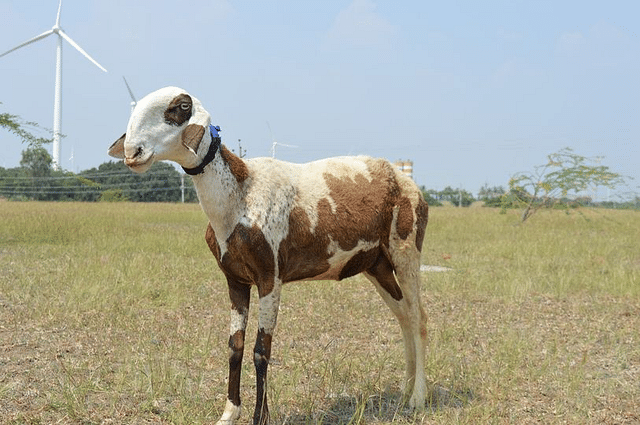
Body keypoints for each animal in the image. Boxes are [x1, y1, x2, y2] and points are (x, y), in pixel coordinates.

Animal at [109, 86, 430, 424]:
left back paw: (418, 398)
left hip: (406, 249)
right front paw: (229, 413)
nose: (132, 152)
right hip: (376, 264)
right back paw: (405, 392)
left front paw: (259, 417)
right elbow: (235, 346)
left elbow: (261, 351)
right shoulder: (235, 279)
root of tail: (406, 181)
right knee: (403, 316)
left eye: (181, 107)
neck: (239, 195)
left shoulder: (270, 277)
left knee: (419, 318)